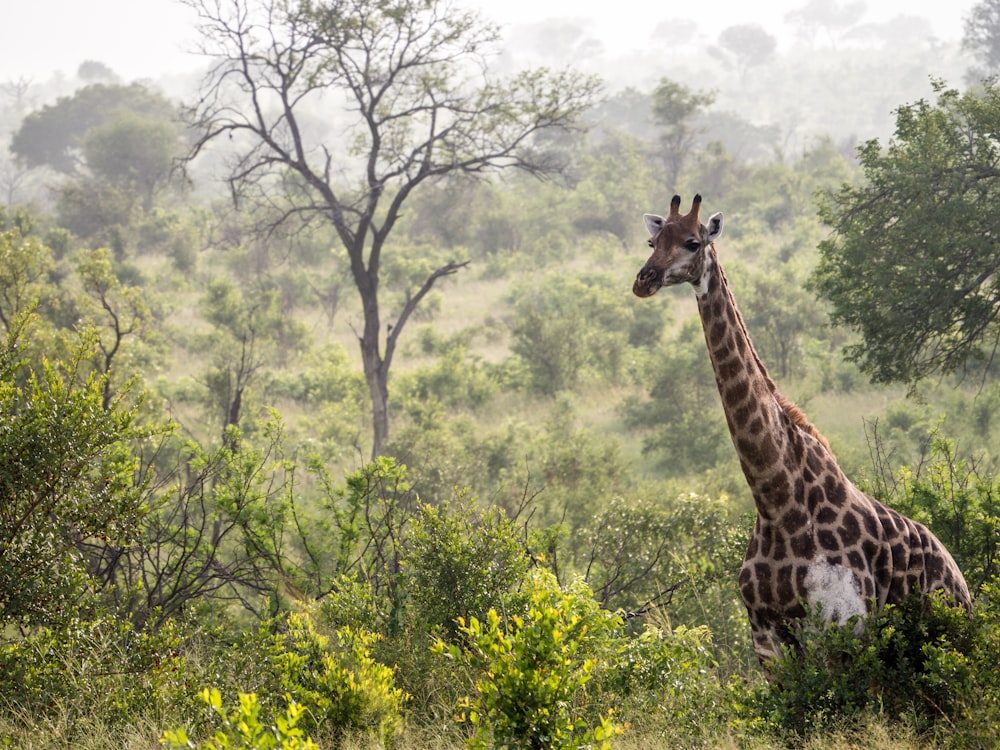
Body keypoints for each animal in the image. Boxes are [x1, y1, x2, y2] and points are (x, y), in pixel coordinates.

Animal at [632, 192, 968, 668]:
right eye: (652, 241)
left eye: (693, 243)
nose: (644, 280)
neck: (777, 500)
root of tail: (961, 578)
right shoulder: (766, 637)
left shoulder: (841, 627)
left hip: (947, 635)